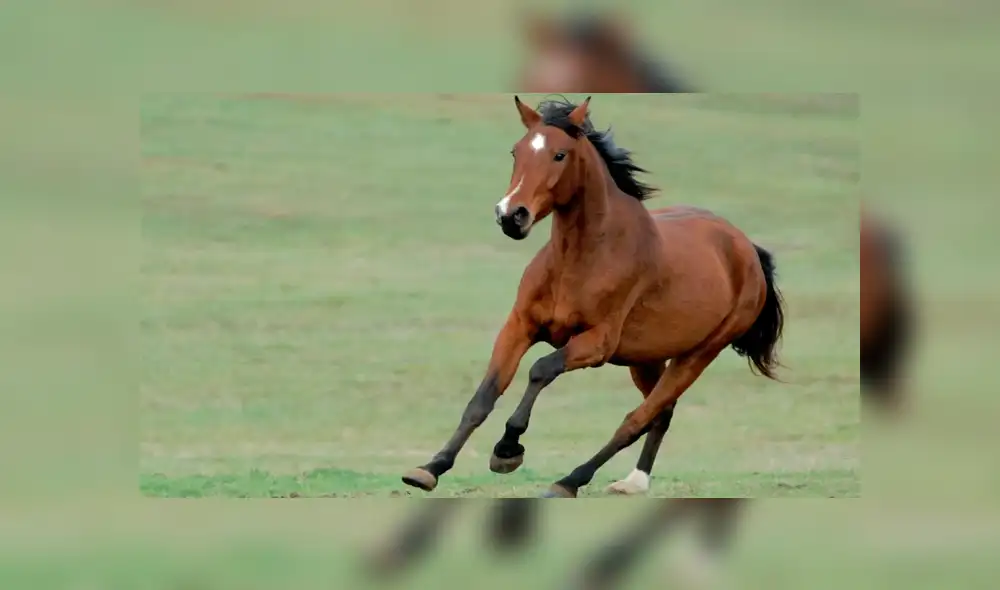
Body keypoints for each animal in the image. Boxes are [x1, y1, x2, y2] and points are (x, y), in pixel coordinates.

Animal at [402, 96, 785, 498]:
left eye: (560, 155)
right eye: (516, 151)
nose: (510, 216)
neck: (581, 259)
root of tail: (748, 250)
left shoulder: (597, 344)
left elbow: (541, 369)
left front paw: (507, 449)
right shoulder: (519, 326)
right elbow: (484, 396)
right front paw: (430, 468)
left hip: (697, 355)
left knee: (637, 419)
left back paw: (569, 481)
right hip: (646, 358)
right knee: (661, 414)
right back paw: (633, 481)